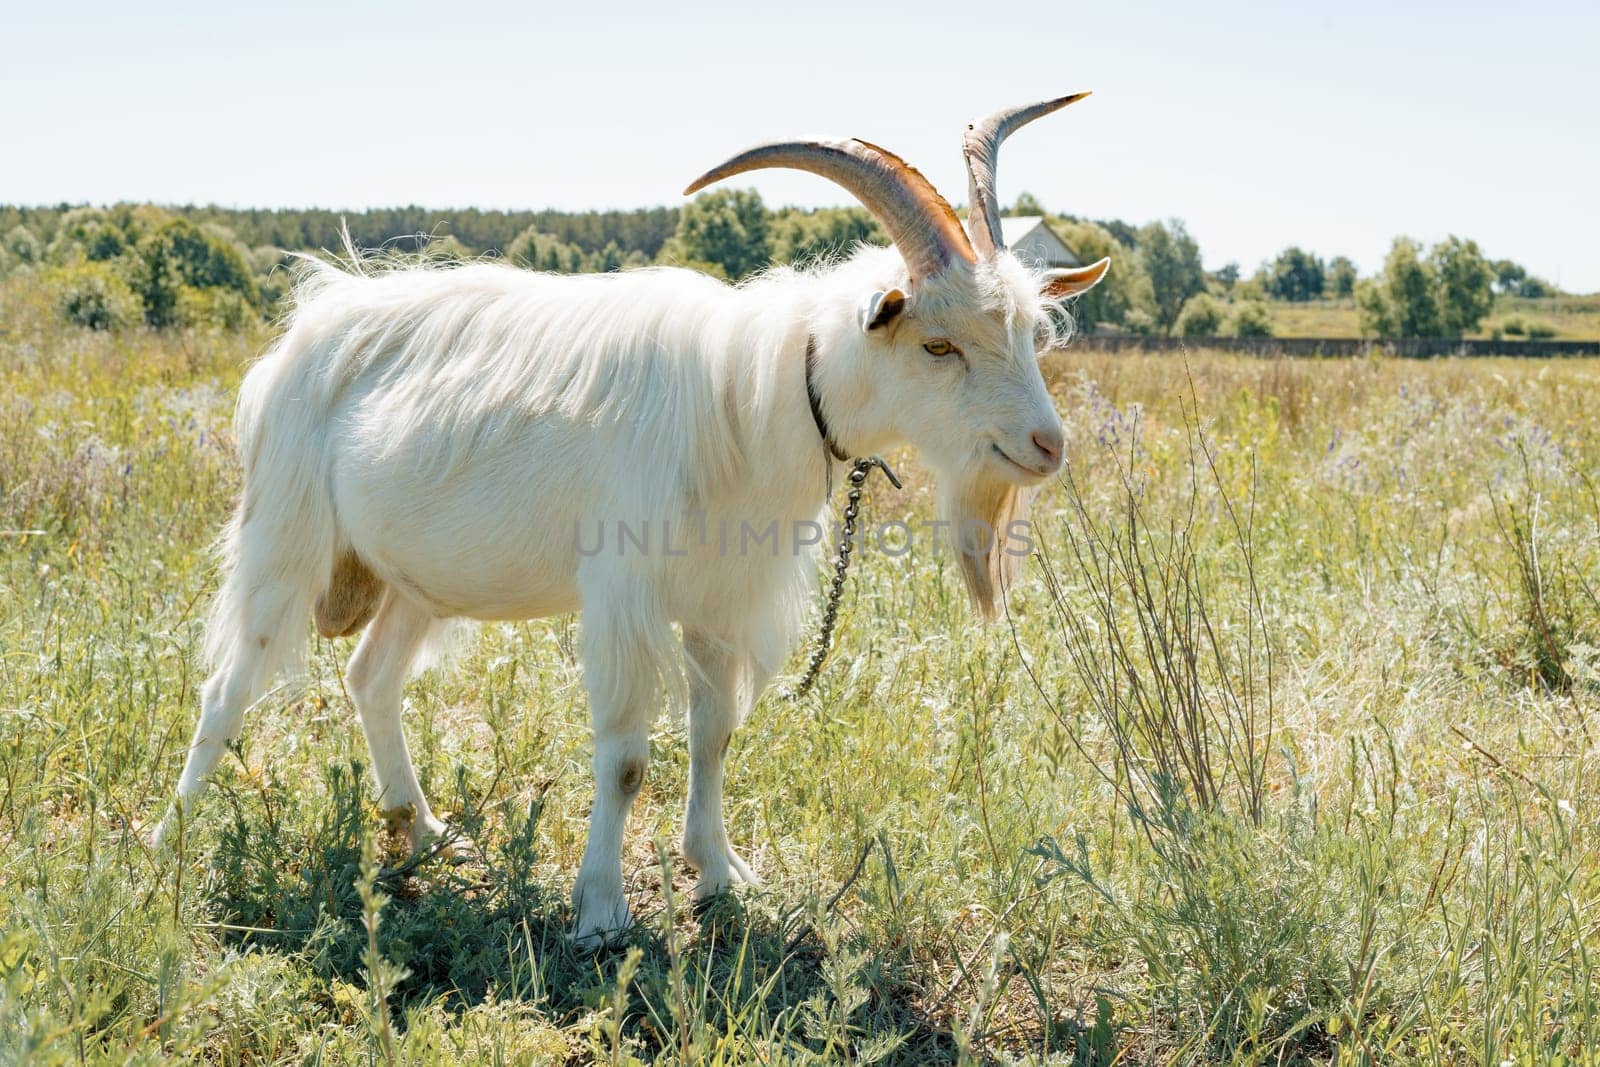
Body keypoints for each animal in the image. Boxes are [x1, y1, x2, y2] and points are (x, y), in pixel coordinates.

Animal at [162, 91, 1113, 940]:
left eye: (1030, 334)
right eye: (938, 343)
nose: (1046, 445)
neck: (754, 394)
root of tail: (307, 330)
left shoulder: (720, 596)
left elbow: (714, 733)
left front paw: (719, 871)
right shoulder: (623, 592)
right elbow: (623, 758)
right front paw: (600, 914)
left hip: (417, 574)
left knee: (370, 675)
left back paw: (424, 829)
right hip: (287, 535)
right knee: (226, 688)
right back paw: (172, 837)